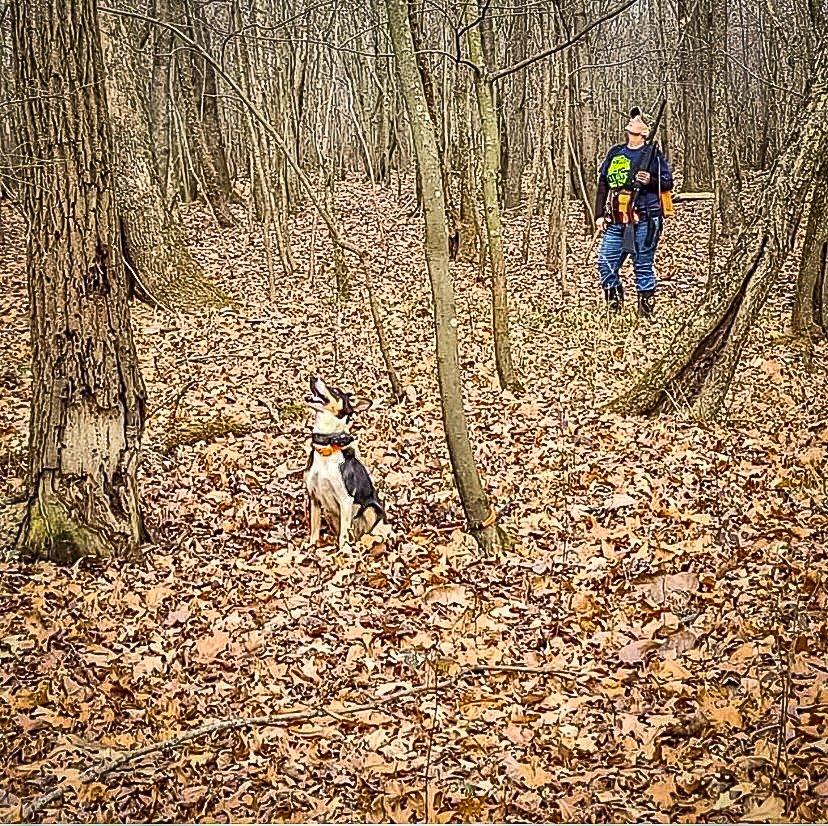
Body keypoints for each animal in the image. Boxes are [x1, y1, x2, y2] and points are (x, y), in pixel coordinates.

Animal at [302, 378, 384, 548]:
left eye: (335, 391)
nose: (313, 377)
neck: (327, 448)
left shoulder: (346, 499)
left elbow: (343, 536)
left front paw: (343, 551)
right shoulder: (314, 497)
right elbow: (314, 529)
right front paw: (312, 547)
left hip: (371, 509)